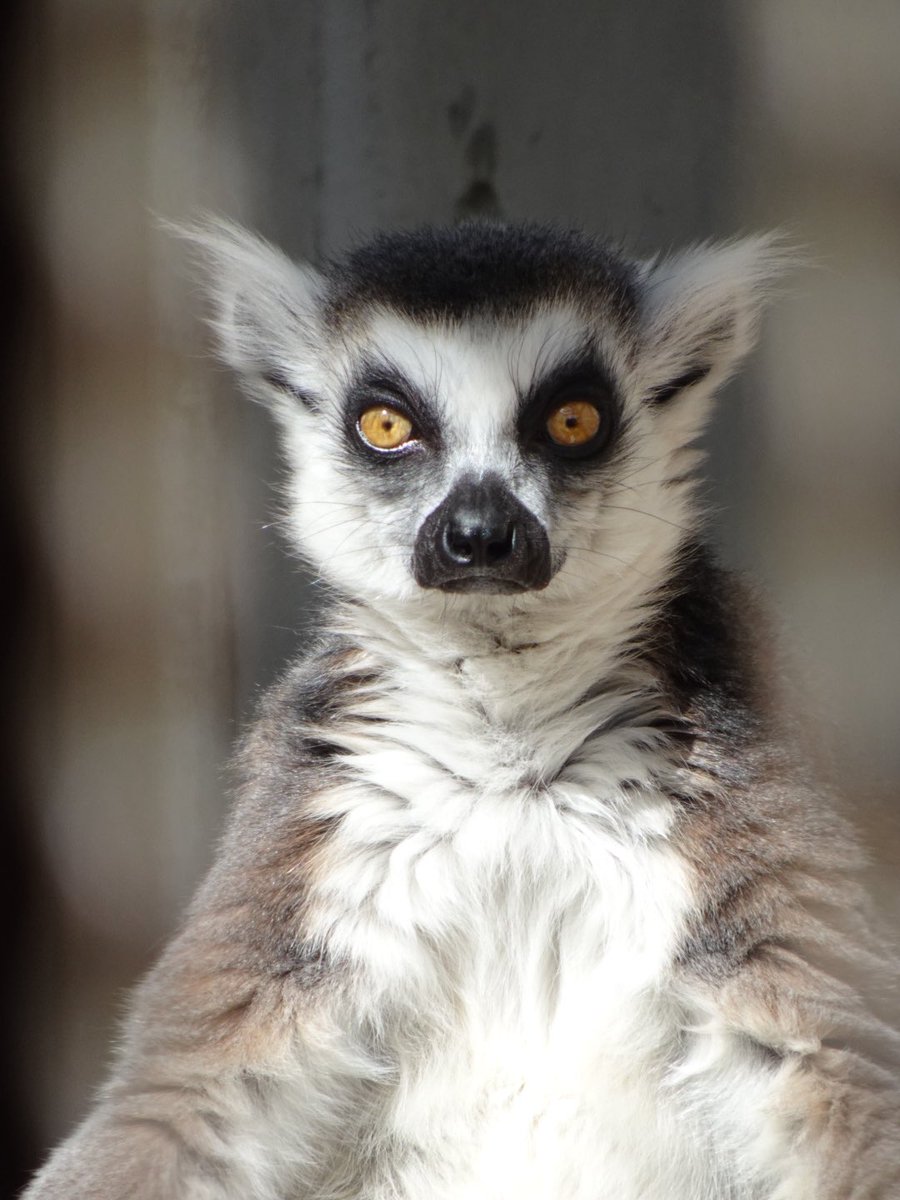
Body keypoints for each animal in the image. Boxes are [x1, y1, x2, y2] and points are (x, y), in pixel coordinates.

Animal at [24, 220, 900, 1198]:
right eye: (387, 426)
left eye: (572, 420)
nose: (480, 535)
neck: (507, 741)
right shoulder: (319, 831)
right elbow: (181, 1103)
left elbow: (834, 1062)